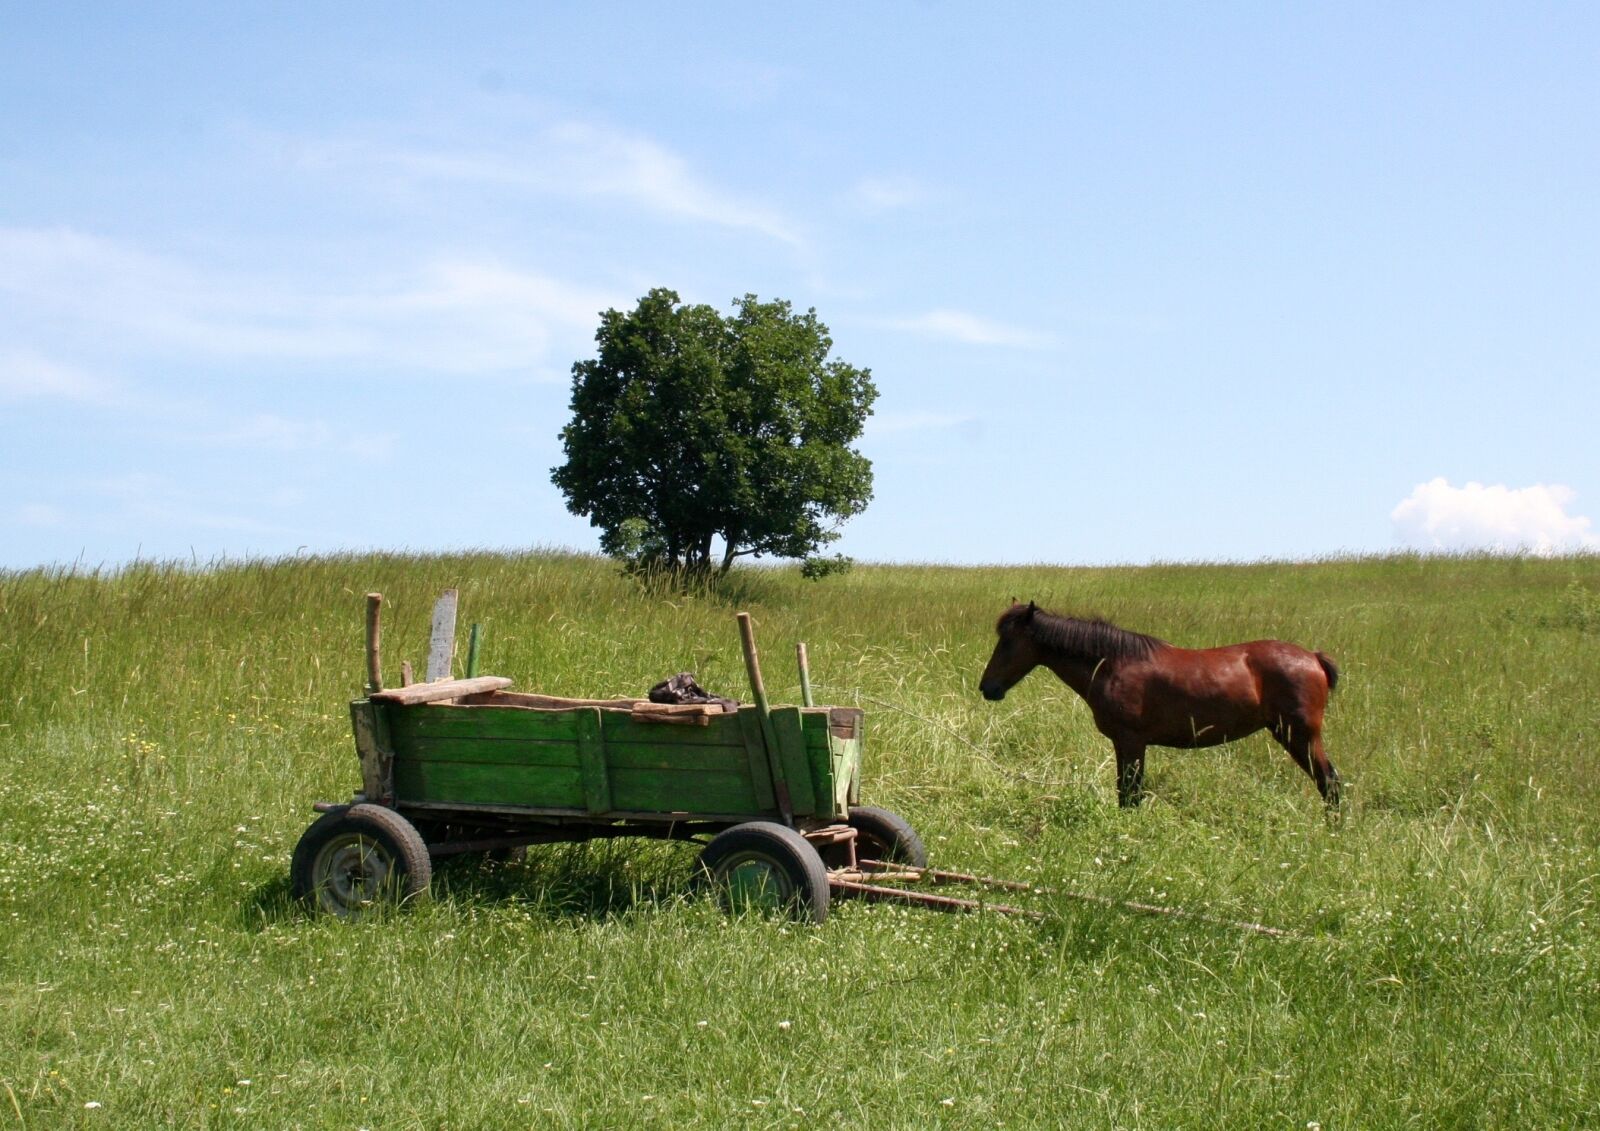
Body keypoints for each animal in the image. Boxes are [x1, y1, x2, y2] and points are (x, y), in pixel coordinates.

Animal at [978, 602, 1342, 808]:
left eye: (1008, 642)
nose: (987, 687)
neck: (1113, 663)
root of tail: (1313, 657)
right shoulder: (1124, 745)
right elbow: (1125, 792)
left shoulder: (1132, 741)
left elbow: (1131, 794)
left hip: (1300, 736)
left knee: (1330, 783)